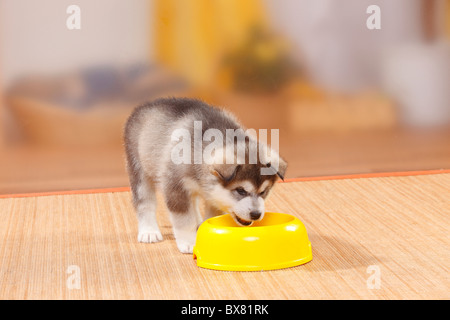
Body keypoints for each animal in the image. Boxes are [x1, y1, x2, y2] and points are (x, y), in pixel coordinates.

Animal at [122, 97, 288, 252]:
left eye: (264, 192)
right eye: (240, 190)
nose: (256, 214)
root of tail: (146, 105)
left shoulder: (213, 195)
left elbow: (211, 215)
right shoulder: (176, 187)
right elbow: (183, 219)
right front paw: (188, 242)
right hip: (138, 168)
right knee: (145, 202)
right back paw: (149, 231)